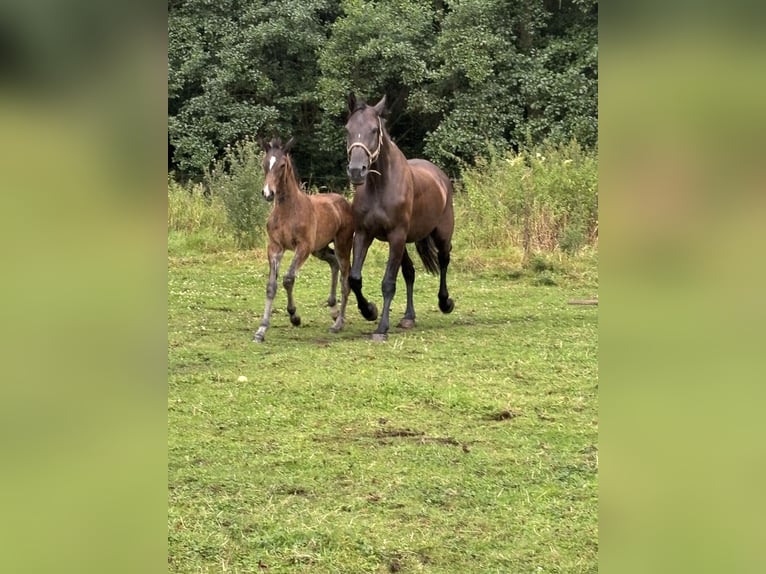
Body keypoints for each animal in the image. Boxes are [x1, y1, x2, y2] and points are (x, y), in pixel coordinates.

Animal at [252, 137, 354, 343]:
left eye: (282, 165)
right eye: (265, 163)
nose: (268, 193)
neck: (288, 211)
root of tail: (343, 202)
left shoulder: (303, 247)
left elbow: (288, 279)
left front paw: (294, 316)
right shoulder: (275, 247)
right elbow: (271, 286)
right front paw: (261, 330)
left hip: (341, 245)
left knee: (345, 279)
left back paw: (338, 323)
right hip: (320, 249)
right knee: (333, 263)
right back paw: (333, 310)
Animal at [344, 93, 455, 341]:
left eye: (374, 130)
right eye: (347, 129)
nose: (356, 171)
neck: (380, 186)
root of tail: (441, 177)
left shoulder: (396, 236)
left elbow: (388, 282)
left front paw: (381, 328)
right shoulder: (364, 234)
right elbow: (355, 278)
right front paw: (369, 311)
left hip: (440, 235)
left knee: (444, 261)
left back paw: (445, 303)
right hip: (404, 242)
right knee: (410, 272)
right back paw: (408, 317)